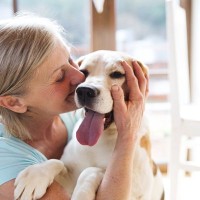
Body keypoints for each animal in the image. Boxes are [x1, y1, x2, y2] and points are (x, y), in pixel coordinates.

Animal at [14, 50, 164, 200]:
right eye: (83, 72)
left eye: (117, 74)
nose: (85, 91)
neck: (101, 139)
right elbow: (57, 162)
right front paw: (34, 176)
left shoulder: (136, 188)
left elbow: (91, 170)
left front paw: (82, 194)